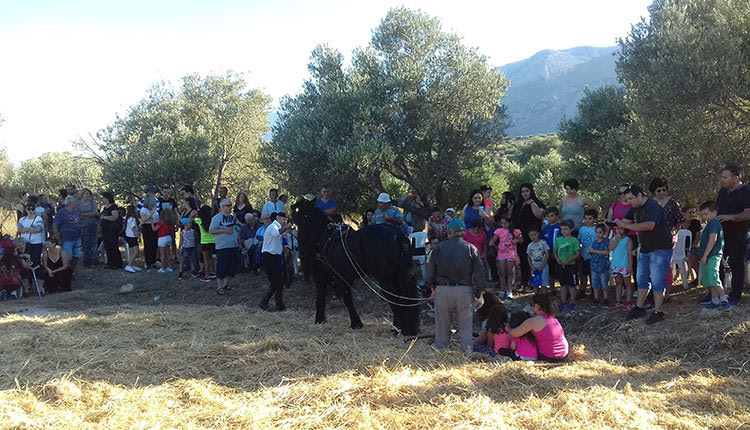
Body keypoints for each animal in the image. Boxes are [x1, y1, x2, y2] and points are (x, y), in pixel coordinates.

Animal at [294, 198, 424, 336]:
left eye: (295, 209)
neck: (323, 236)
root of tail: (396, 234)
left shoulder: (322, 276)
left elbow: (323, 298)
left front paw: (320, 320)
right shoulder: (344, 278)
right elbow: (348, 299)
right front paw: (356, 323)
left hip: (386, 280)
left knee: (396, 301)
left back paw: (396, 328)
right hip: (400, 277)